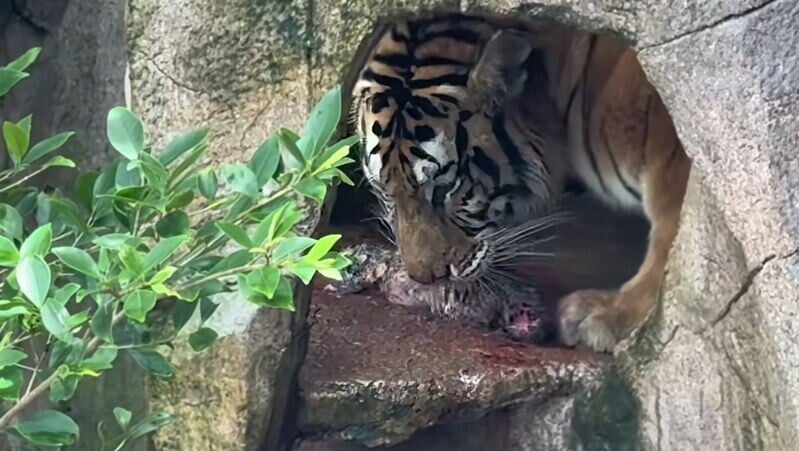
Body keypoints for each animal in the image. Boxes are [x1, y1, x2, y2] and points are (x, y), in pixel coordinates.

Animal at [349, 11, 691, 352]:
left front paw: (612, 316)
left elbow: (667, 235)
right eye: (384, 191)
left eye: (445, 189)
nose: (425, 279)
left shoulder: (670, 152)